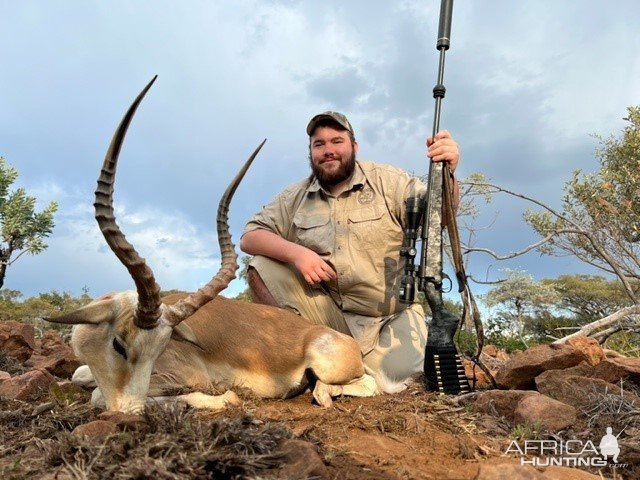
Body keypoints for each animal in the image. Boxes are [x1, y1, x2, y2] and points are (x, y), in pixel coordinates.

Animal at [47, 78, 378, 412]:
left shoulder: (187, 378)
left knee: (364, 384)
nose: (131, 413)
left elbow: (99, 395)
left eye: (159, 349)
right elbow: (80, 375)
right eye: (118, 343)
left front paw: (221, 398)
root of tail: (341, 338)